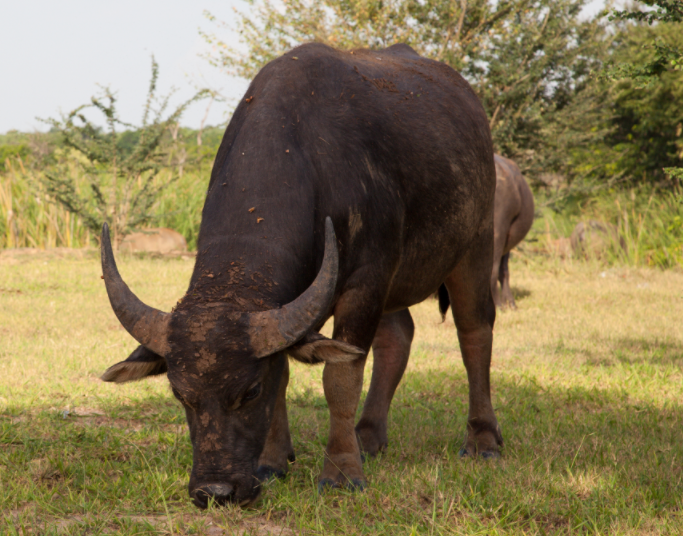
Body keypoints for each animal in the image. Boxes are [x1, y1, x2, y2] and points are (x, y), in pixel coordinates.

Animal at [97, 42, 502, 506]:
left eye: (249, 392)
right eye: (180, 393)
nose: (215, 491)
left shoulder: (365, 284)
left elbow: (340, 378)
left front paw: (342, 472)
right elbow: (286, 375)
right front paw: (273, 462)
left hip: (475, 245)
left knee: (474, 331)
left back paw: (482, 440)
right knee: (398, 338)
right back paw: (368, 436)